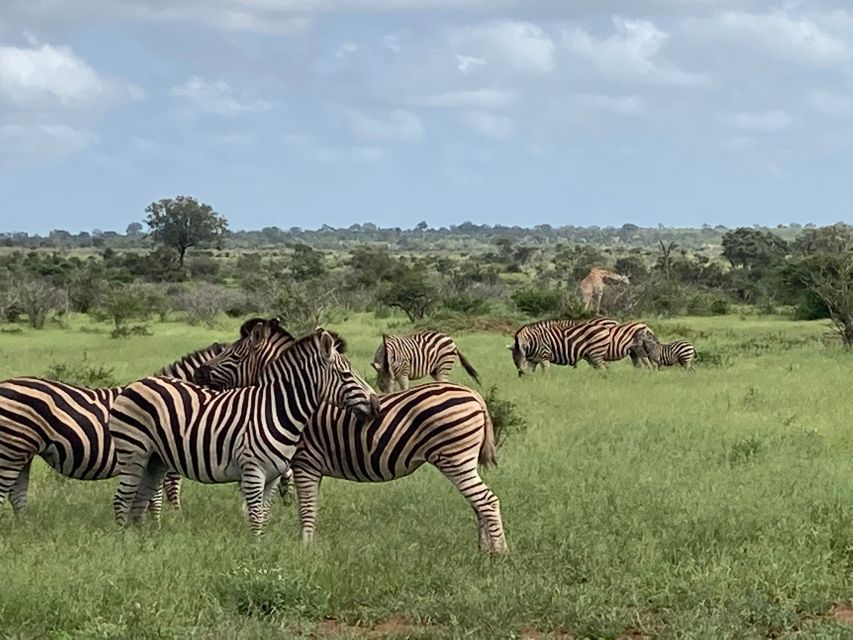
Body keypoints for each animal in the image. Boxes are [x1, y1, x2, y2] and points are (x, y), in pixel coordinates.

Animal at [0, 340, 226, 516]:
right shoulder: (167, 456)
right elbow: (165, 494)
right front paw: (165, 523)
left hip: (23, 451)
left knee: (16, 494)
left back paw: (24, 527)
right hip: (13, 449)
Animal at [110, 324, 380, 536]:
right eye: (346, 375)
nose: (376, 404)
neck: (277, 410)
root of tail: (137, 383)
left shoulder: (273, 475)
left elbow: (264, 513)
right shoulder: (252, 471)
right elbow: (256, 516)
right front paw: (254, 553)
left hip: (155, 460)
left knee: (140, 500)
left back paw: (144, 539)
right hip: (134, 453)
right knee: (122, 499)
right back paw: (125, 539)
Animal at [196, 320, 510, 556]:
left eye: (234, 356)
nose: (199, 373)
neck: (289, 401)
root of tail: (476, 396)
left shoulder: (304, 463)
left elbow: (305, 509)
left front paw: (304, 549)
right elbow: (301, 506)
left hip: (454, 458)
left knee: (487, 500)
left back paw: (498, 553)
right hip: (462, 461)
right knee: (479, 503)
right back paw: (483, 549)